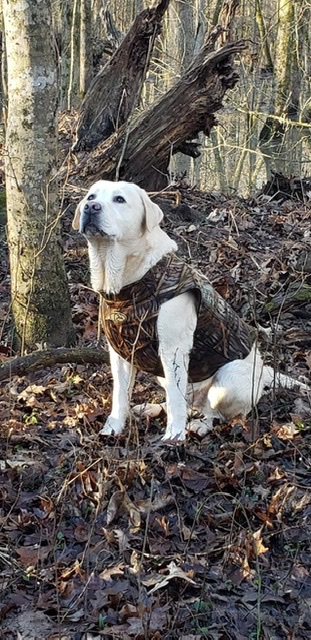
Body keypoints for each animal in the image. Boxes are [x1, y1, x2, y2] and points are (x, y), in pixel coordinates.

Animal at [73, 178, 310, 442]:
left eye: (119, 199)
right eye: (91, 196)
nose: (91, 208)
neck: (128, 283)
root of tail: (265, 371)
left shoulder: (173, 349)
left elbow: (175, 400)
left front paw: (174, 437)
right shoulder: (121, 352)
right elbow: (120, 395)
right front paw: (113, 427)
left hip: (227, 380)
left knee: (218, 412)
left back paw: (201, 424)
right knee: (185, 401)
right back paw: (152, 408)